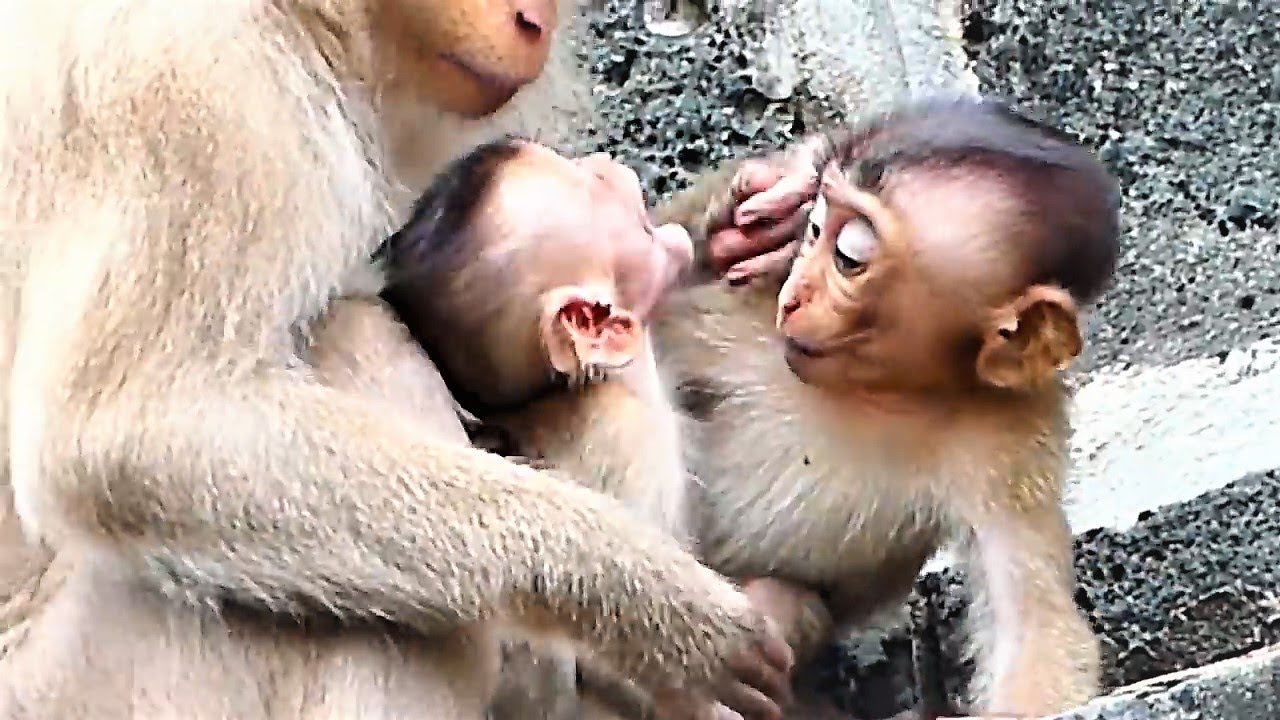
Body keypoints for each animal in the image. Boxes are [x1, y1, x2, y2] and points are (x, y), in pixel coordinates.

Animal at [0, 0, 801, 717]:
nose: (536, 23)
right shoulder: (182, 72)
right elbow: (129, 434)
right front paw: (643, 598)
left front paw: (735, 220)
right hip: (93, 681)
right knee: (364, 337)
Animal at [649, 96, 1122, 719]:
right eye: (816, 230)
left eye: (849, 257)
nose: (795, 297)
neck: (885, 388)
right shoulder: (736, 309)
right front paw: (742, 213)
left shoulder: (1012, 433)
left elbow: (1030, 620)